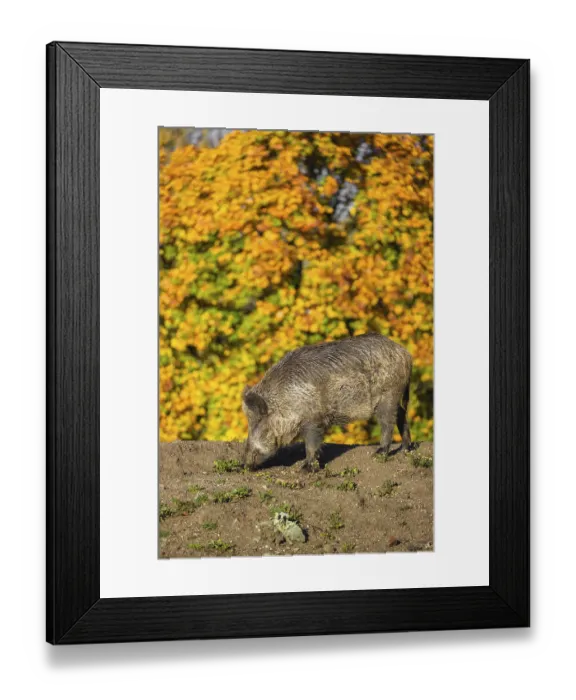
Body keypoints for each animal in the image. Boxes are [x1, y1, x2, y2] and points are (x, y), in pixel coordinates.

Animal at [242, 333, 413, 471]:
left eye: (258, 421)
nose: (244, 464)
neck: (285, 400)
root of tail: (404, 353)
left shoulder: (313, 420)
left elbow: (311, 445)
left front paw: (305, 469)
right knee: (401, 416)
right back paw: (405, 450)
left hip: (388, 395)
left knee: (388, 423)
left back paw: (378, 454)